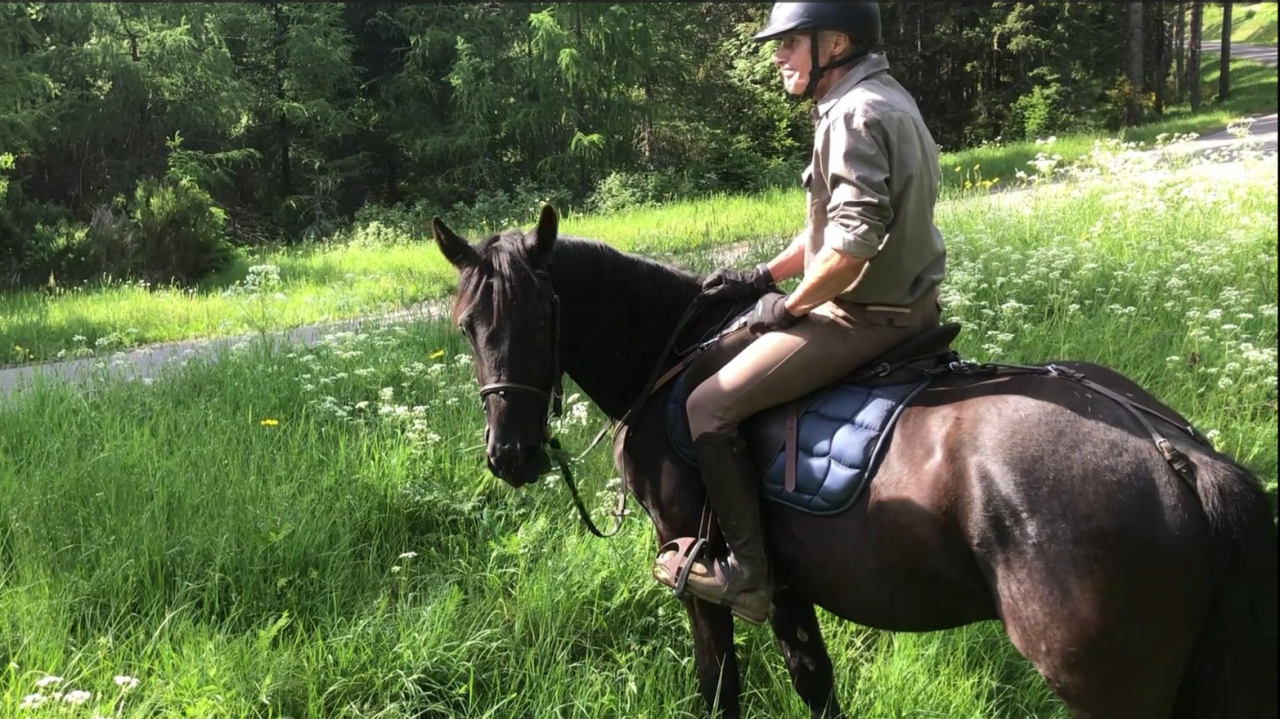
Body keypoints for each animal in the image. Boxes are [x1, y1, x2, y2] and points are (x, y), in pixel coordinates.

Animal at [429, 204, 1277, 719]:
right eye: (466, 324)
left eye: (545, 317)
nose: (511, 454)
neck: (670, 353)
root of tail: (1180, 459)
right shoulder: (784, 580)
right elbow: (814, 680)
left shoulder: (694, 564)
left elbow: (719, 686)